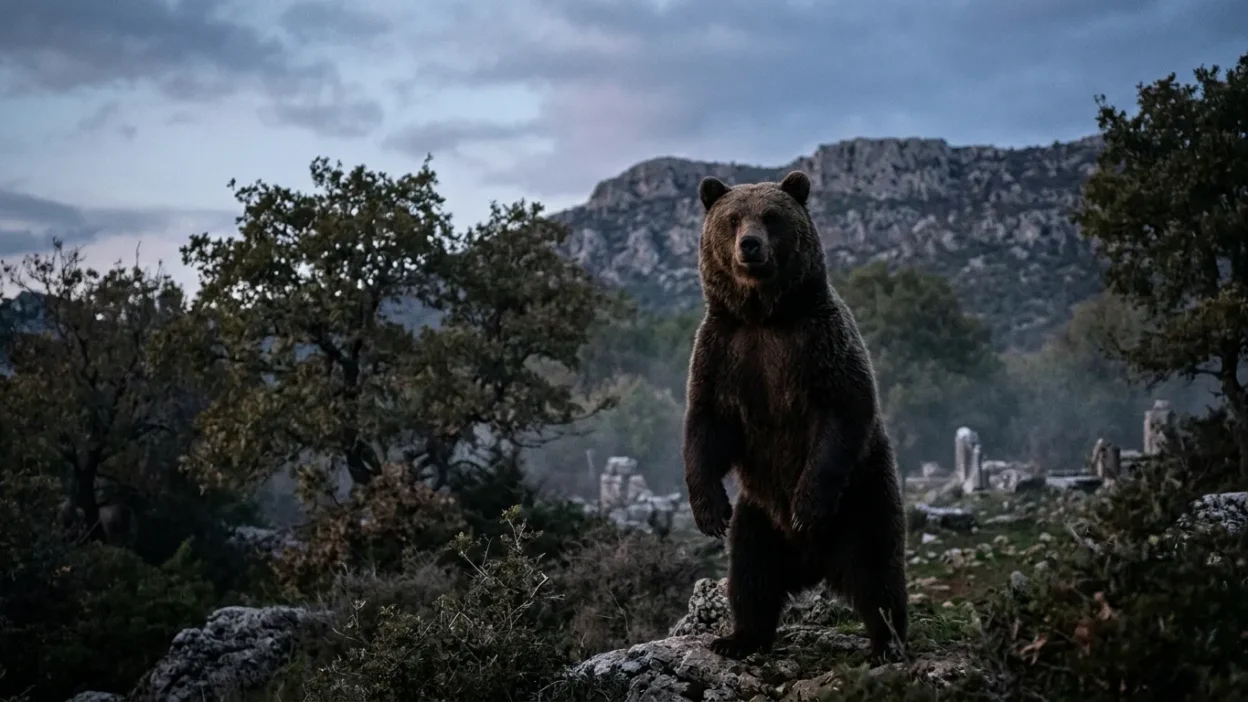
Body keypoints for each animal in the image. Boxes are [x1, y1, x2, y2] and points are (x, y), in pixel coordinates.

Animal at [682, 169, 909, 663]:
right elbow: (706, 425)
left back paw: (887, 643)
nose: (749, 245)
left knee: (877, 571)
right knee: (750, 575)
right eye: (732, 218)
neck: (765, 315)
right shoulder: (723, 351)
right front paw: (709, 512)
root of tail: (813, 563)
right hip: (759, 515)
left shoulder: (819, 343)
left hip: (863, 497)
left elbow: (844, 410)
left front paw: (806, 505)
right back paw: (737, 638)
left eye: (771, 216)